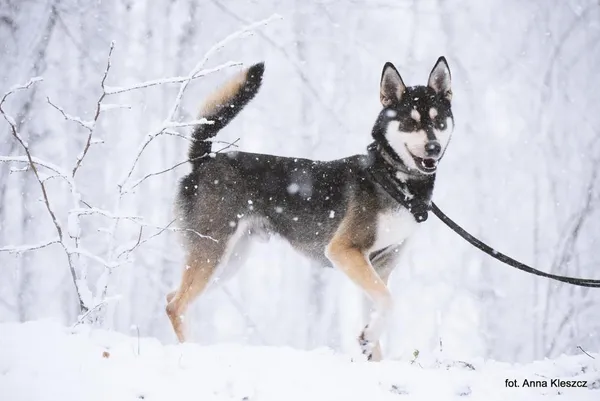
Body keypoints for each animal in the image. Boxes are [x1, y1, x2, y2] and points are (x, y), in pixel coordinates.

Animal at [166, 57, 452, 360]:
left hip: (230, 259)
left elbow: (378, 310)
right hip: (213, 250)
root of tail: (203, 160)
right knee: (176, 305)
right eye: (410, 122)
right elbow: (388, 301)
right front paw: (369, 337)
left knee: (171, 297)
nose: (433, 148)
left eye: (439, 121)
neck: (391, 180)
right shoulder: (345, 250)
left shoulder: (381, 265)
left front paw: (370, 346)